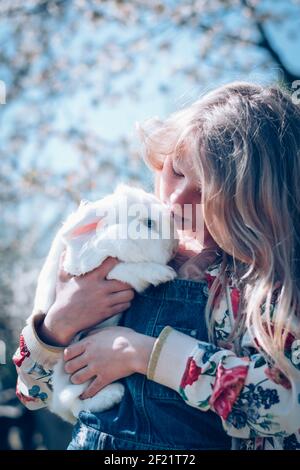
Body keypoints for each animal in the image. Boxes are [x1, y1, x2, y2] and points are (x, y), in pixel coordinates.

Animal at [30, 184, 178, 422]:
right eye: (148, 223)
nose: (174, 246)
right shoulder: (93, 270)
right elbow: (125, 269)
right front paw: (163, 274)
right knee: (75, 402)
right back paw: (114, 394)